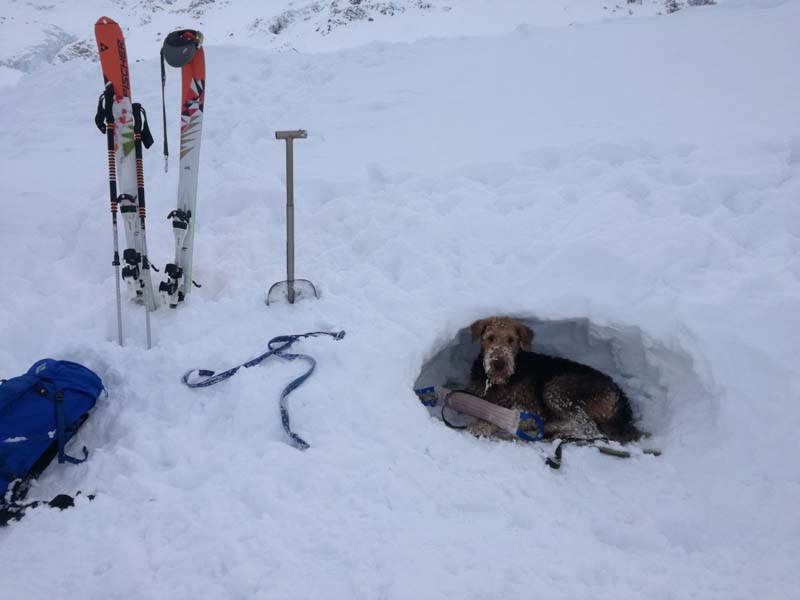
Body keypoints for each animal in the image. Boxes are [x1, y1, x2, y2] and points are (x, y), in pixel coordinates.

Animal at [466, 318, 640, 440]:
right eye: (490, 337)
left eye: (511, 340)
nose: (499, 364)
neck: (497, 382)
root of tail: (621, 396)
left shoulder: (529, 407)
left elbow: (502, 414)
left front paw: (481, 427)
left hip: (556, 388)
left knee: (589, 427)